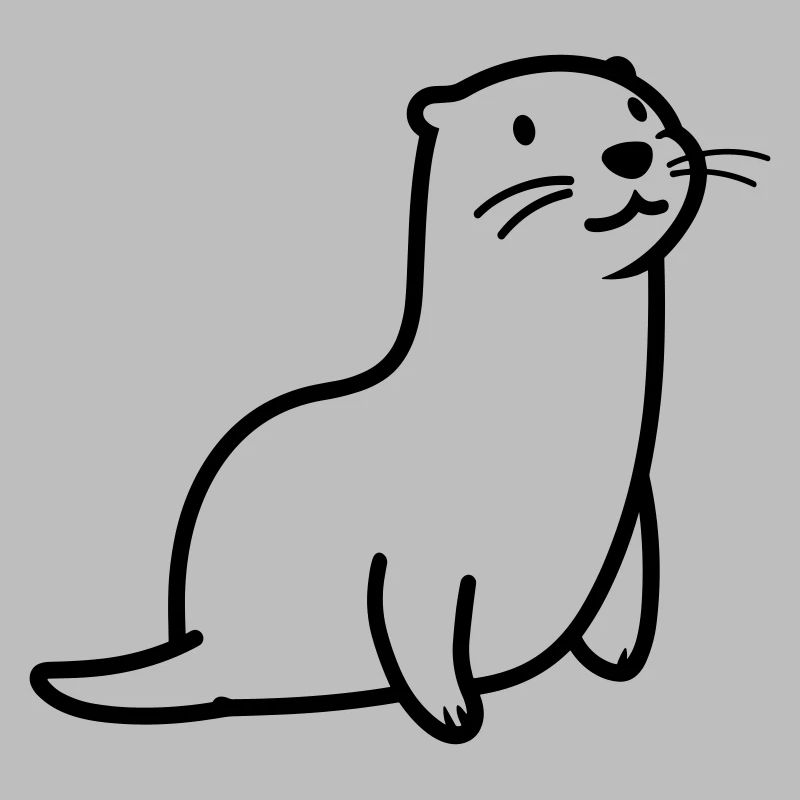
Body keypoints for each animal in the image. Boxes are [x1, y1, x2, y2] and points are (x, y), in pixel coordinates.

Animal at [31, 54, 768, 744]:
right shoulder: (422, 552)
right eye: (523, 128)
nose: (629, 152)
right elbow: (420, 627)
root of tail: (204, 642)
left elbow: (628, 574)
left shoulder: (632, 501)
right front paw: (452, 713)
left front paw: (617, 651)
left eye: (638, 107)